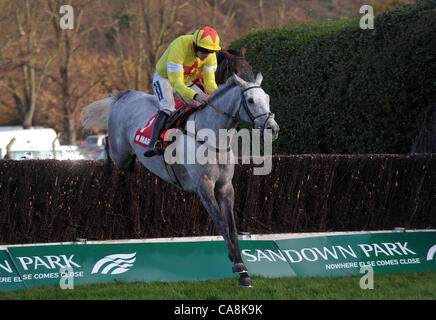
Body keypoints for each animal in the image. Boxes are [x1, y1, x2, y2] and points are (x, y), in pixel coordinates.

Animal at [81, 73, 280, 288]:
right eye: (250, 100)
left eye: (267, 98)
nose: (273, 128)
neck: (212, 137)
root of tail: (125, 95)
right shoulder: (204, 187)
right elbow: (221, 223)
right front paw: (239, 267)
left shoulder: (225, 188)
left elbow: (232, 227)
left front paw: (243, 270)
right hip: (121, 153)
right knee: (108, 144)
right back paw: (105, 168)